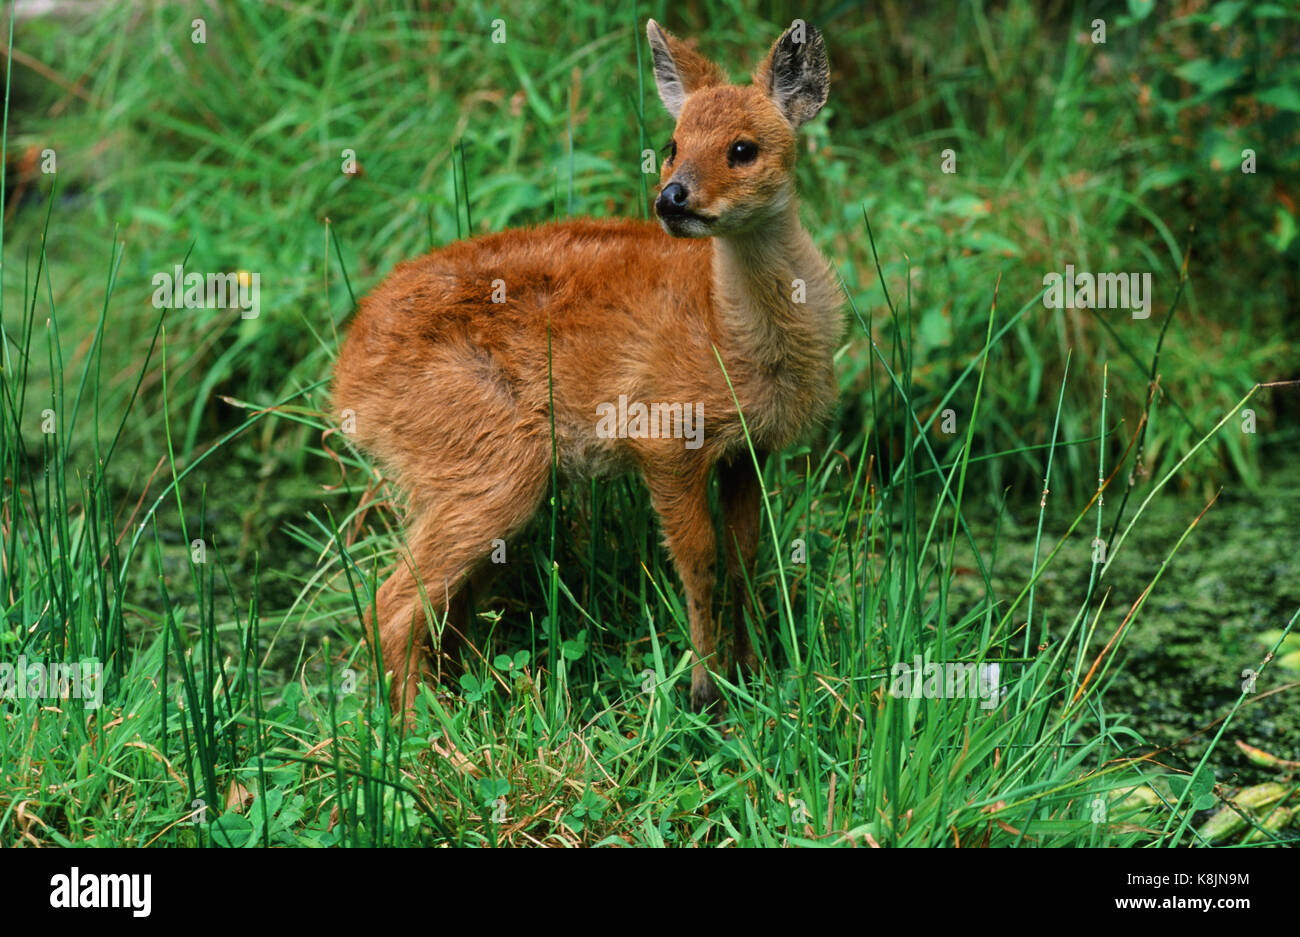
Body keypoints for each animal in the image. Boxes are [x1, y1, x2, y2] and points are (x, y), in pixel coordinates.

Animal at [332, 18, 842, 712]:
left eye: (743, 148)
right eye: (673, 144)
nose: (671, 198)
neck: (729, 332)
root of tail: (345, 380)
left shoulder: (750, 450)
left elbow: (743, 557)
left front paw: (753, 673)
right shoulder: (662, 432)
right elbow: (699, 560)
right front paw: (705, 692)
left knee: (444, 607)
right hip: (486, 458)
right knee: (391, 602)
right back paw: (422, 728)